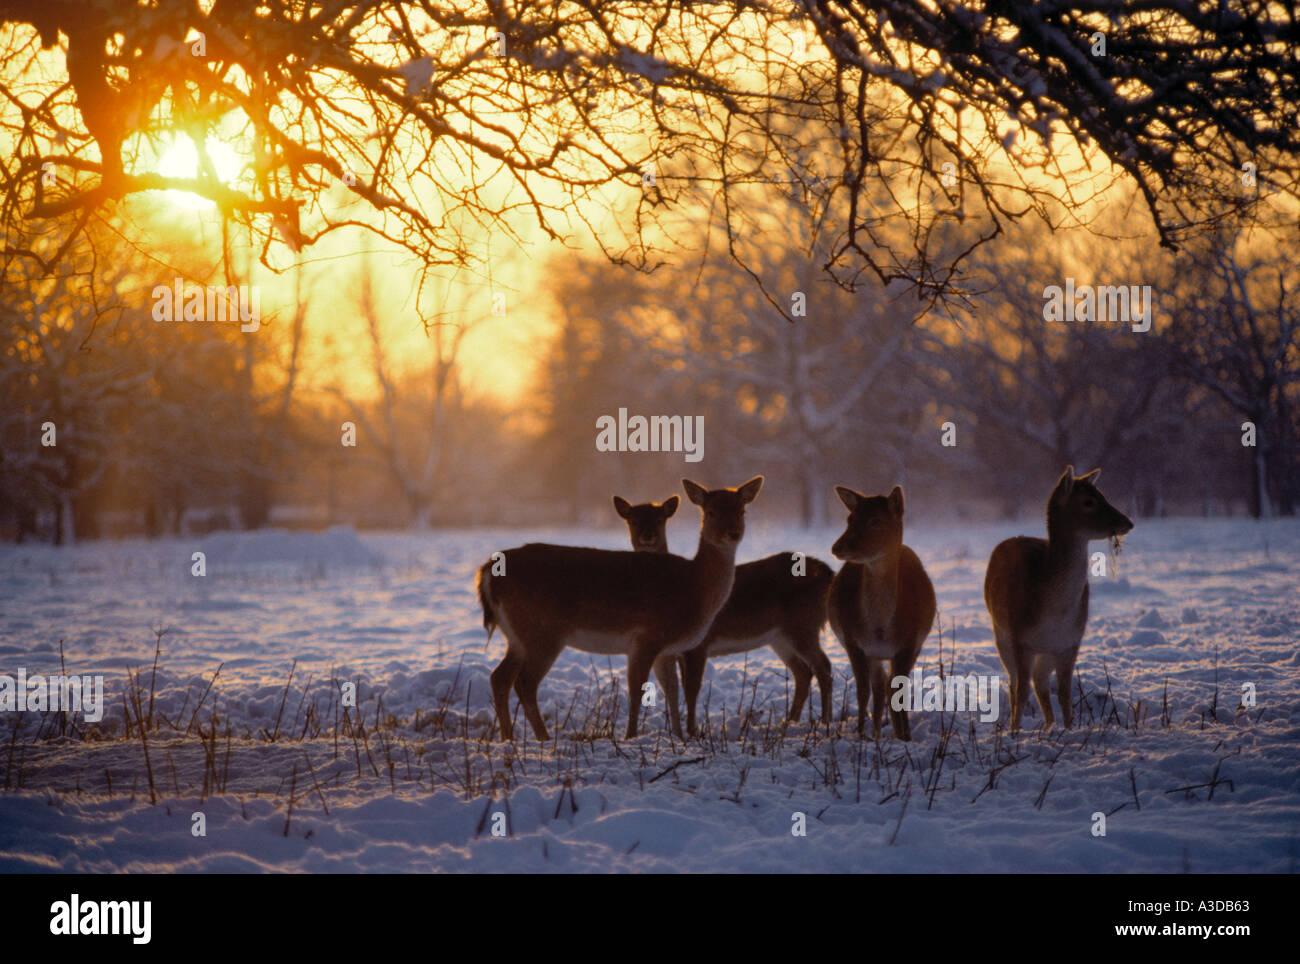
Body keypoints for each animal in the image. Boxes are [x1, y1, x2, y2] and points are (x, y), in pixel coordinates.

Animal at [478, 480, 759, 743]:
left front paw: (678, 737)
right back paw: (544, 738)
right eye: (710, 512)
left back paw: (508, 738)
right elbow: (637, 688)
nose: (733, 533)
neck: (694, 588)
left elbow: (672, 689)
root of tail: (488, 573)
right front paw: (631, 736)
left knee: (499, 677)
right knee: (524, 682)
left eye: (742, 510)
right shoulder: (647, 636)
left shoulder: (666, 648)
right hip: (543, 631)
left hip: (518, 636)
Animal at [611, 493, 832, 737]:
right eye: (632, 520)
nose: (647, 535)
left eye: (660, 519)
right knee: (802, 672)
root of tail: (828, 573)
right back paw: (789, 722)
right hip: (780, 637)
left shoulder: (700, 644)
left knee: (823, 667)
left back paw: (825, 721)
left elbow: (691, 688)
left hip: (804, 624)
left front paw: (693, 731)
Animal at [826, 485, 930, 743]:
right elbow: (863, 691)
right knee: (880, 685)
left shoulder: (910, 644)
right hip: (872, 654)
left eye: (875, 521)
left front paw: (905, 737)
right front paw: (861, 735)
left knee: (889, 686)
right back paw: (875, 732)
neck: (880, 627)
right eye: (850, 519)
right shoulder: (853, 642)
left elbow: (899, 692)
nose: (837, 547)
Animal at [987, 465, 1133, 732]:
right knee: (1016, 683)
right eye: (1089, 501)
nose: (1127, 522)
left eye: (1103, 495)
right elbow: (1021, 691)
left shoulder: (1071, 642)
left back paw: (1049, 725)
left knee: (1040, 682)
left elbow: (1065, 693)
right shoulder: (1020, 639)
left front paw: (1068, 729)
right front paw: (1014, 733)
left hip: (1046, 652)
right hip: (1001, 634)